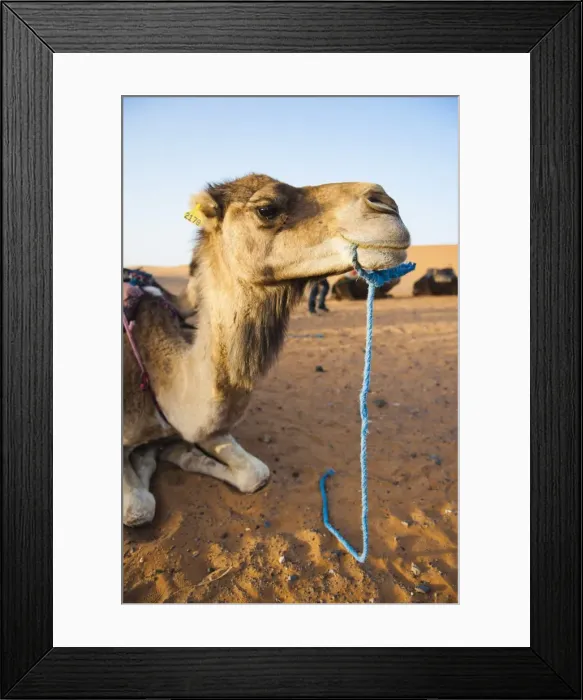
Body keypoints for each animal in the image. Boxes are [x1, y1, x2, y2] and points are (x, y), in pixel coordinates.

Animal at [123, 173, 411, 526]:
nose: (386, 203)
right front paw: (150, 458)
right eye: (267, 208)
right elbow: (138, 508)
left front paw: (174, 452)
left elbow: (256, 474)